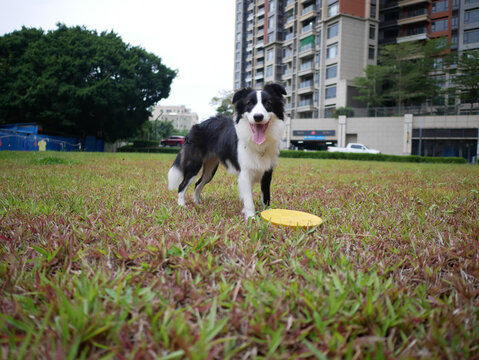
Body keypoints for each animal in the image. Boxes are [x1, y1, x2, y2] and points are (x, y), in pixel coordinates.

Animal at [168, 82, 284, 218]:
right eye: (249, 104)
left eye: (268, 103)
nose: (258, 117)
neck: (258, 143)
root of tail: (195, 127)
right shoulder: (245, 172)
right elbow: (249, 199)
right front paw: (251, 217)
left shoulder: (266, 171)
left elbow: (265, 196)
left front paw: (266, 214)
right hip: (194, 165)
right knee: (182, 185)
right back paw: (182, 205)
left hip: (210, 168)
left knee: (198, 184)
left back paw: (197, 204)